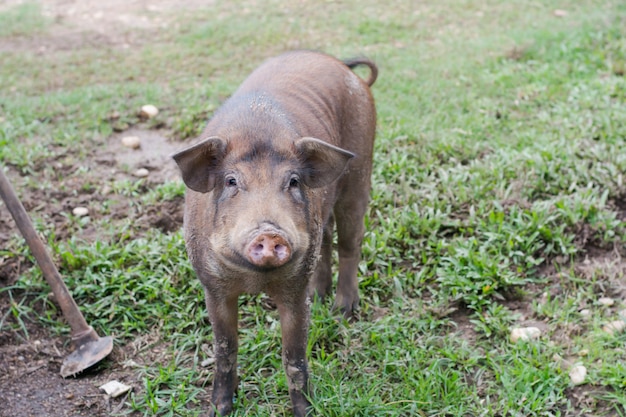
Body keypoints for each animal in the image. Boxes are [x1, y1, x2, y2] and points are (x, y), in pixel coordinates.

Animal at [171, 49, 376, 416]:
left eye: (292, 181)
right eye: (232, 181)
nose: (269, 232)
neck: (255, 280)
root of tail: (342, 65)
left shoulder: (293, 290)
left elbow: (294, 357)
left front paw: (306, 411)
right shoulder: (212, 285)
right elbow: (225, 348)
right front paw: (219, 409)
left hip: (360, 170)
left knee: (350, 241)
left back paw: (342, 310)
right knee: (326, 237)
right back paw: (319, 298)